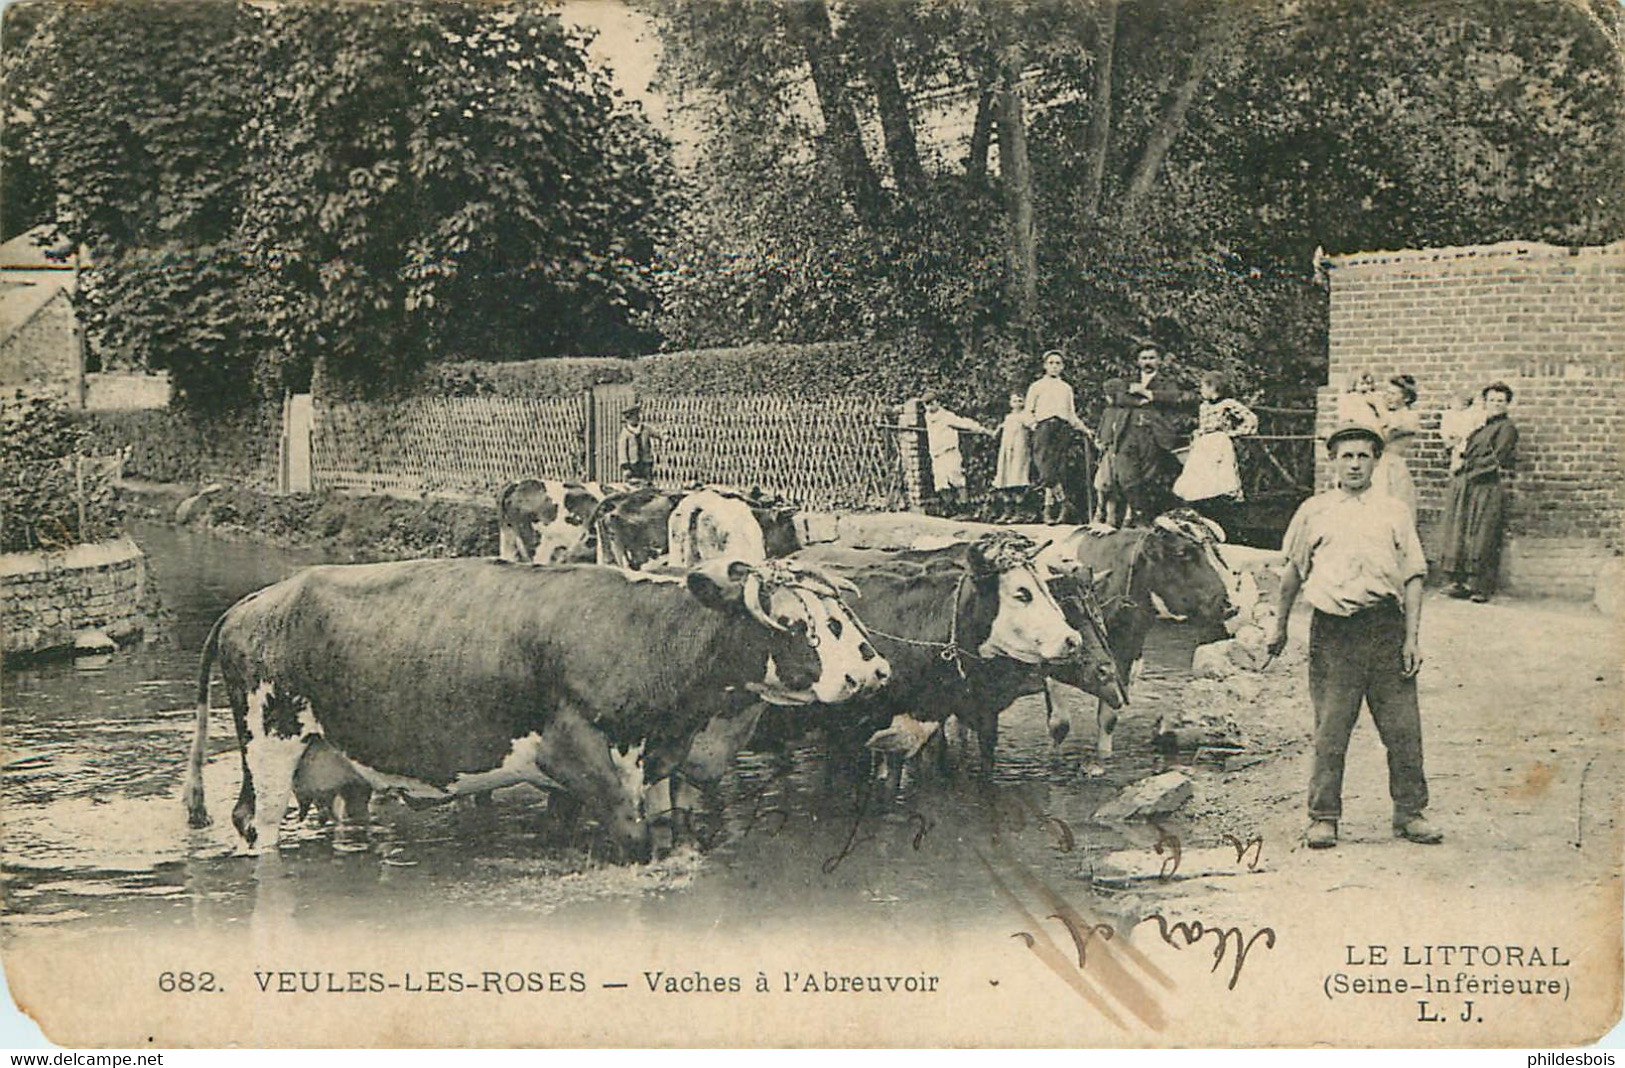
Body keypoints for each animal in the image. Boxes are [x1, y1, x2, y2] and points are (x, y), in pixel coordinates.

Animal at [186, 552, 897, 864]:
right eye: (793, 622)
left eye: (841, 610)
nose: (875, 669)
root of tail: (253, 602)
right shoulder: (588, 763)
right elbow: (637, 844)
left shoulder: (641, 769)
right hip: (271, 743)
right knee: (261, 826)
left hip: (335, 761)